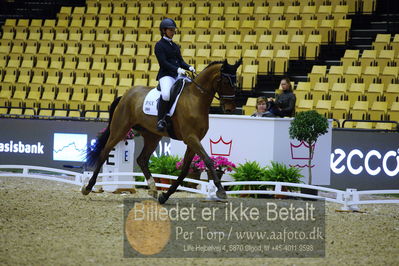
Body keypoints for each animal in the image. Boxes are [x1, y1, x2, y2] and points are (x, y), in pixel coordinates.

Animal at [82, 58, 241, 204]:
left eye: (236, 82)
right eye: (226, 81)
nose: (230, 109)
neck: (196, 99)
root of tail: (125, 96)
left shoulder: (193, 141)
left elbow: (185, 171)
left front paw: (165, 196)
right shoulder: (191, 138)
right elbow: (208, 160)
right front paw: (221, 191)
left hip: (152, 136)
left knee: (142, 159)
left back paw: (153, 189)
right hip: (120, 129)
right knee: (105, 152)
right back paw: (88, 187)